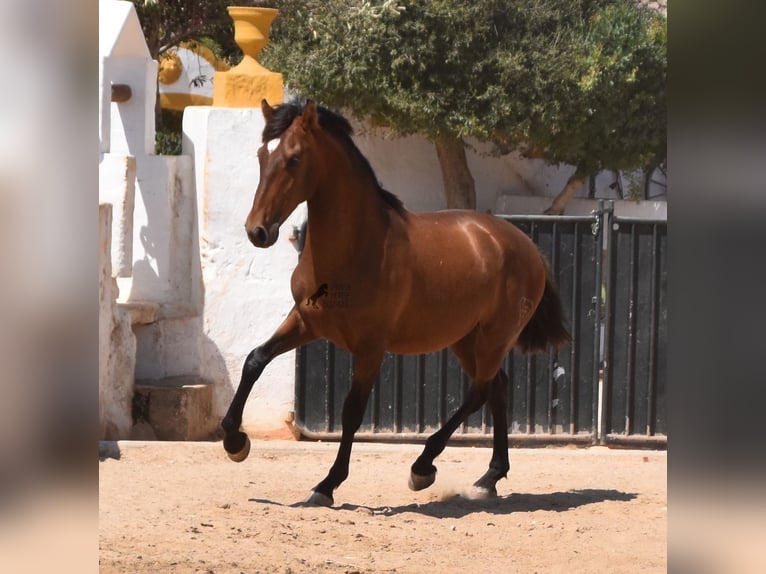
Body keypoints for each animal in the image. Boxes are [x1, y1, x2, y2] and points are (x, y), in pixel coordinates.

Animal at [220, 100, 568, 508]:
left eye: (293, 159)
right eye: (262, 155)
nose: (258, 231)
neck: (357, 246)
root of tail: (524, 244)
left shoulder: (371, 348)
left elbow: (351, 411)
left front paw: (326, 485)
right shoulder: (306, 323)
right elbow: (254, 361)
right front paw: (234, 441)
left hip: (494, 337)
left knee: (480, 391)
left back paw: (423, 467)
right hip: (466, 339)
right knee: (496, 387)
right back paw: (489, 478)